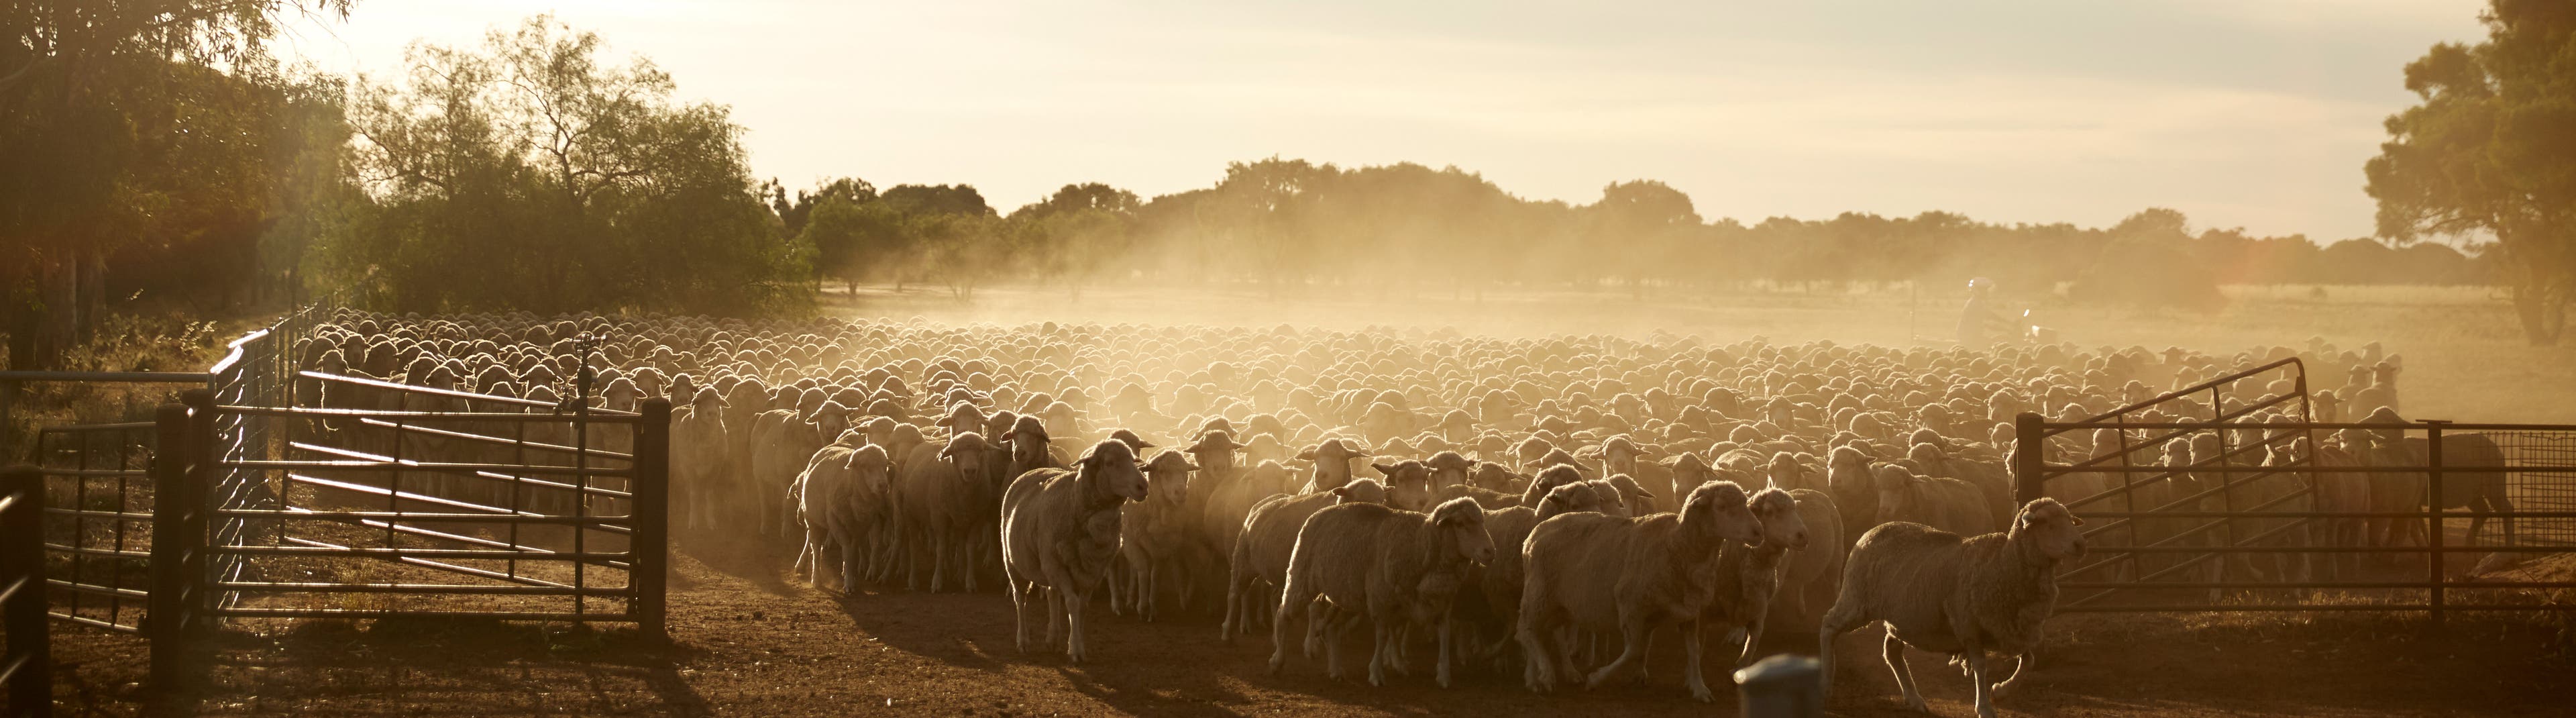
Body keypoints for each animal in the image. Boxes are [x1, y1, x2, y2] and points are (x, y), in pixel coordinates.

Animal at [994, 442, 1148, 669]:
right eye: (1110, 463)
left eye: (1132, 459)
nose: (1143, 486)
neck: (1074, 501)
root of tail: (1032, 471)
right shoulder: (1060, 567)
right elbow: (1073, 604)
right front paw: (1076, 650)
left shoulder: (1093, 571)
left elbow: (1082, 607)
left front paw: (1077, 644)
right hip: (1016, 563)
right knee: (1020, 598)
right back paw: (1023, 641)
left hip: (1048, 562)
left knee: (1051, 593)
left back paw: (1052, 638)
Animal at [1262, 499, 1494, 689]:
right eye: (1461, 524)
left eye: (1483, 523)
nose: (1490, 551)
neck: (1420, 544)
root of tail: (1318, 513)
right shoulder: (1381, 599)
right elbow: (1383, 636)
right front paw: (1376, 673)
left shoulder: (1440, 603)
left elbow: (1443, 635)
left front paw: (1443, 675)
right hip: (1301, 577)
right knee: (1284, 615)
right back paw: (1277, 661)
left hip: (1348, 597)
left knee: (1330, 629)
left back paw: (1336, 671)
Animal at [1514, 478, 1762, 705]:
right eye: (1721, 507)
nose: (1759, 532)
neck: (1675, 545)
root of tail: (1536, 533)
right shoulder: (1629, 605)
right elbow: (1633, 650)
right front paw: (1596, 679)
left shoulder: (1688, 610)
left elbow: (1692, 651)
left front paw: (1699, 688)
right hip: (1540, 593)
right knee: (1525, 631)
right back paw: (1546, 673)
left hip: (1559, 604)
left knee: (1539, 632)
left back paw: (1536, 678)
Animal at [1813, 499, 2092, 718]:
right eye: (2049, 524)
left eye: (2070, 521)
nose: (2081, 545)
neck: (2002, 563)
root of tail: (1873, 530)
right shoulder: (1968, 625)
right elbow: (1980, 666)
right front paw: (1985, 707)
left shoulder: (2009, 627)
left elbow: (2029, 660)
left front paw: (2001, 691)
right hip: (1856, 598)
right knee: (1828, 626)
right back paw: (1825, 685)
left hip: (1904, 618)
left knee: (1891, 650)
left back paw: (1914, 699)